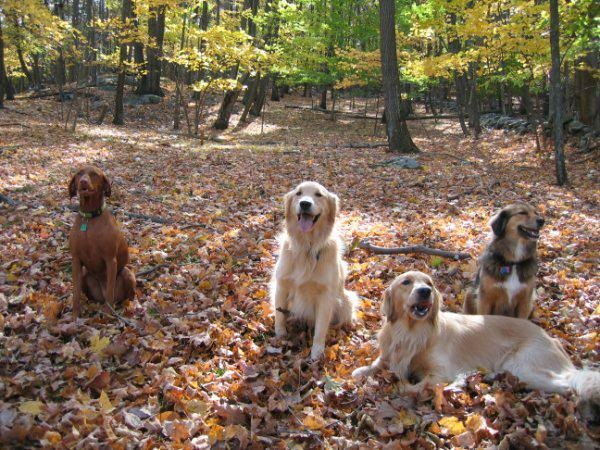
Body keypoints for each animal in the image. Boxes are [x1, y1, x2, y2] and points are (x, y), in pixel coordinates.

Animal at [68, 165, 136, 316]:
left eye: (94, 174)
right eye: (79, 174)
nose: (83, 181)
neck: (89, 218)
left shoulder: (110, 260)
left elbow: (110, 289)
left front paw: (108, 313)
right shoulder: (75, 260)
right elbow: (75, 292)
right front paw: (75, 314)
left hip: (127, 273)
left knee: (127, 296)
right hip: (86, 277)